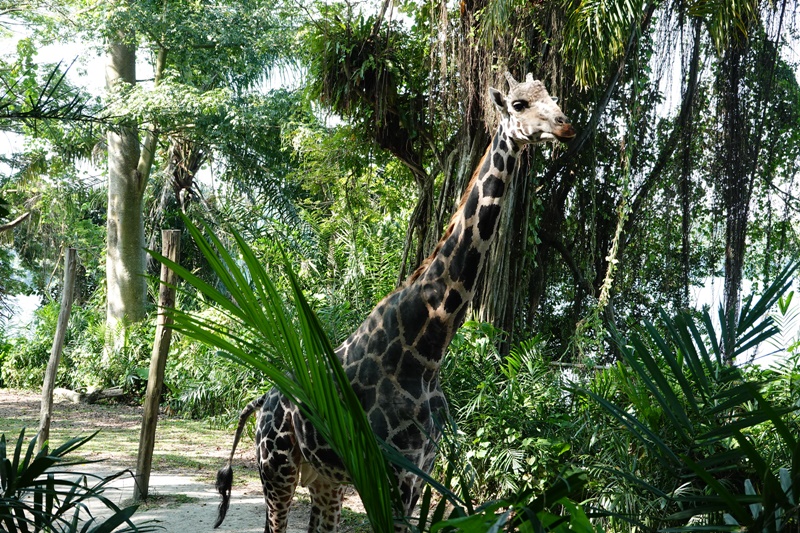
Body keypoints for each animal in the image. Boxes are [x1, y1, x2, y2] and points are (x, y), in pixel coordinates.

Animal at [212, 71, 576, 532]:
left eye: (553, 97)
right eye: (518, 105)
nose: (565, 126)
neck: (429, 347)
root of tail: (263, 401)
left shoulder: (421, 472)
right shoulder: (393, 474)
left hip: (323, 479)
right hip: (276, 469)